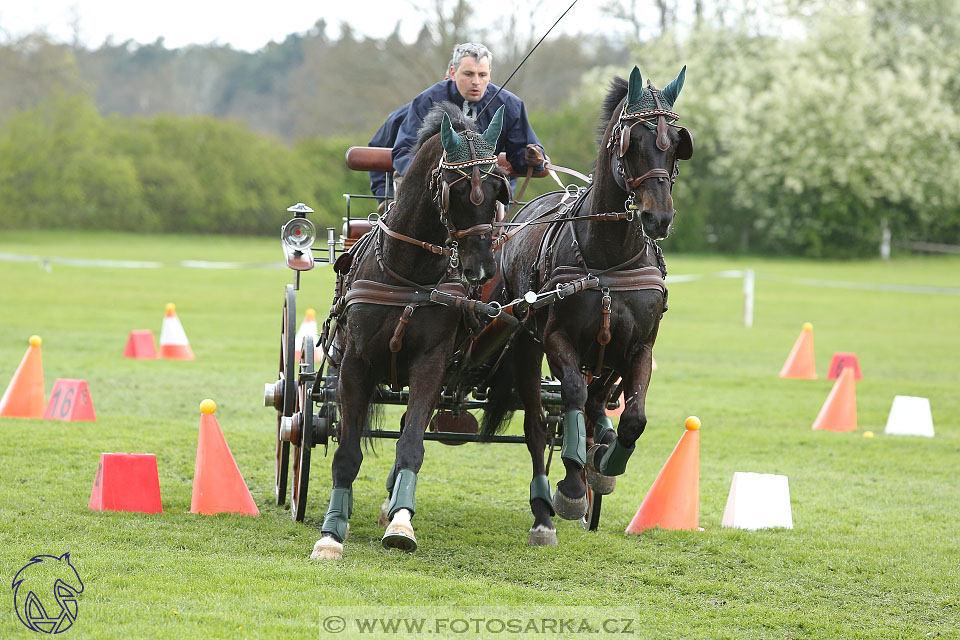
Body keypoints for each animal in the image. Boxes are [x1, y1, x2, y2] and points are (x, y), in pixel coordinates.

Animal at [314, 102, 512, 556]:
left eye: (498, 189)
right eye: (458, 190)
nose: (481, 269)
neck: (407, 273)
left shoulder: (430, 365)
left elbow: (411, 445)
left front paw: (401, 522)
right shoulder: (355, 365)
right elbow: (347, 451)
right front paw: (331, 532)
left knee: (407, 427)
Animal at [484, 65, 692, 544]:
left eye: (676, 143)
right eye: (630, 142)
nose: (658, 217)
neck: (608, 257)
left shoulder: (638, 348)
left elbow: (633, 417)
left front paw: (606, 462)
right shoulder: (557, 338)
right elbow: (572, 399)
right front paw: (573, 489)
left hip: (605, 357)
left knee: (597, 405)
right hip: (527, 346)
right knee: (540, 424)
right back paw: (545, 511)